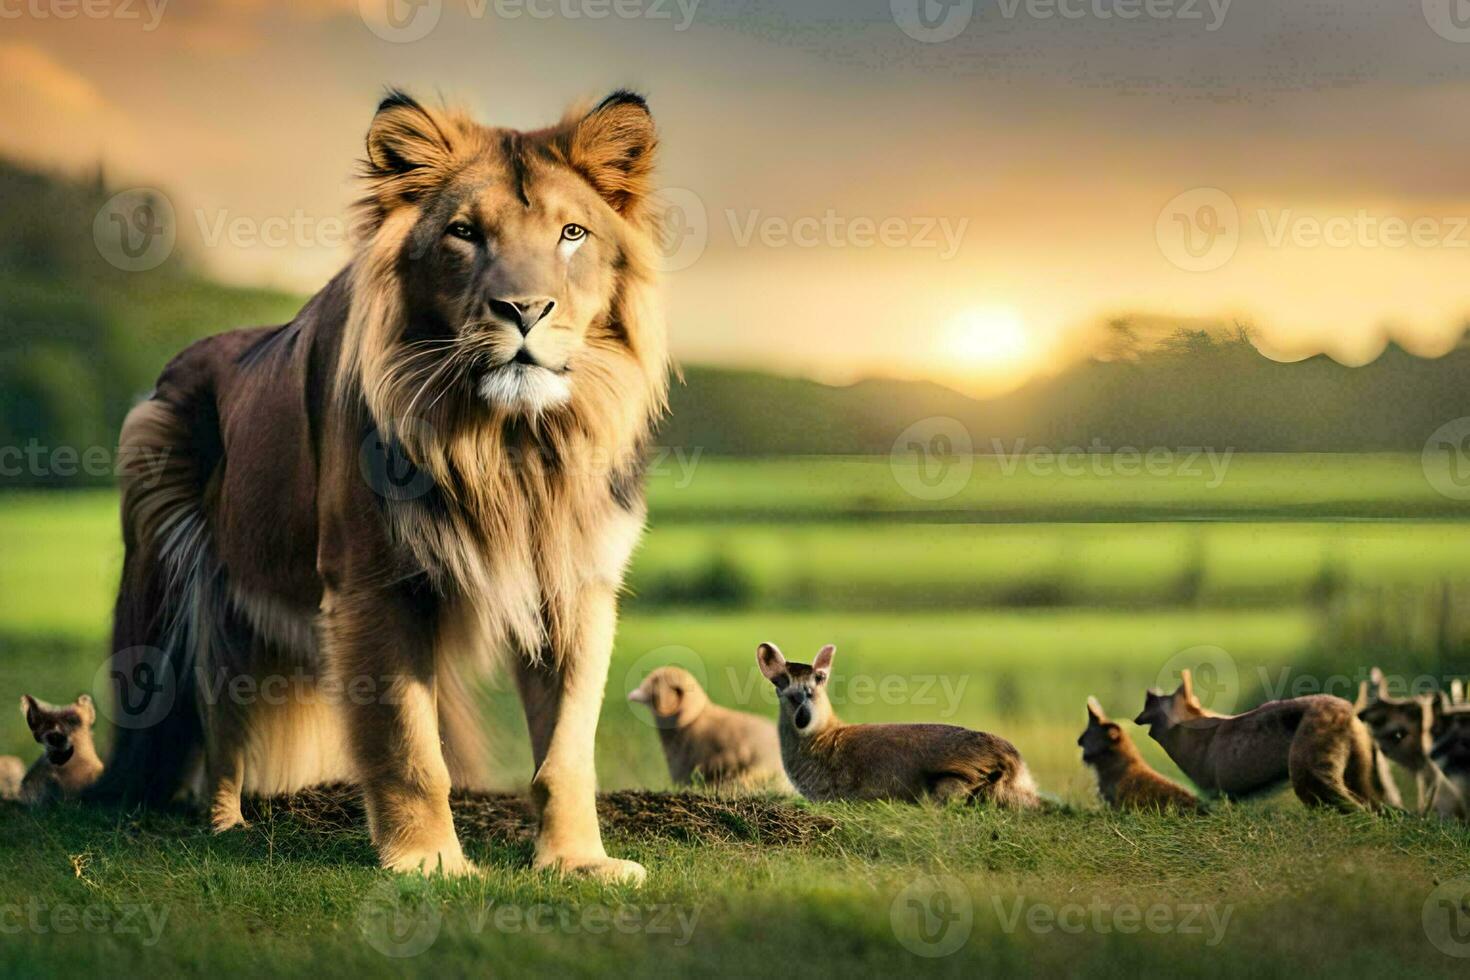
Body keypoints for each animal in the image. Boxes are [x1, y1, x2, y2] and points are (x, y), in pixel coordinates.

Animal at [87, 91, 667, 887]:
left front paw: (579, 862)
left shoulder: (575, 588)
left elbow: (566, 754)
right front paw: (428, 864)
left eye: (572, 233)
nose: (524, 310)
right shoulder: (374, 584)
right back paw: (226, 828)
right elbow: (408, 747)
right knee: (218, 725)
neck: (508, 446)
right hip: (190, 595)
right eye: (464, 233)